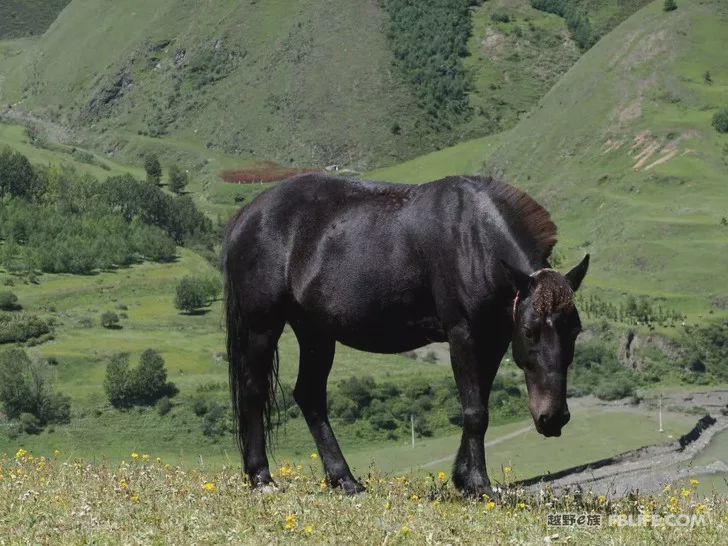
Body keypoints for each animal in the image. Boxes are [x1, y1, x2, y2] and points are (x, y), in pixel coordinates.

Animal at [225, 172, 588, 496]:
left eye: (575, 330)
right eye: (529, 330)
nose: (553, 418)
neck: (474, 240)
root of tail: (247, 215)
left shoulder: (493, 341)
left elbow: (479, 405)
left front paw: (463, 479)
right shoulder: (464, 335)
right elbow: (475, 412)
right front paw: (479, 485)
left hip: (316, 333)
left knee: (310, 396)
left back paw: (344, 480)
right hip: (262, 327)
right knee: (254, 391)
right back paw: (262, 478)